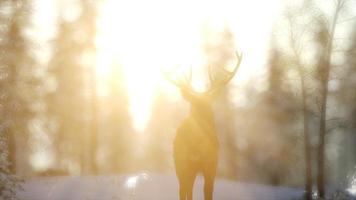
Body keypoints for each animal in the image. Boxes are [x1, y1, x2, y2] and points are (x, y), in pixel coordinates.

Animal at [164, 52, 242, 200]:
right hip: (179, 163)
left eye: (208, 106)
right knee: (183, 189)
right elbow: (189, 190)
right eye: (193, 105)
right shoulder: (187, 164)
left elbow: (208, 191)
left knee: (188, 188)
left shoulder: (212, 164)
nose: (200, 119)